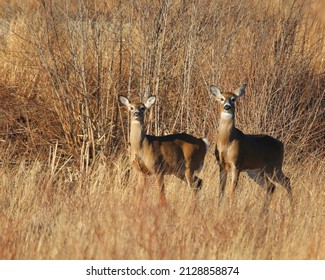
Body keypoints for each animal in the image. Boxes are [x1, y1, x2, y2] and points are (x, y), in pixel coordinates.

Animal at [209, 84, 292, 213]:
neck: (226, 142)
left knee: (286, 181)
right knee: (271, 186)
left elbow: (232, 191)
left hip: (274, 167)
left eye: (233, 99)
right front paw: (218, 208)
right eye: (221, 99)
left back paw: (292, 209)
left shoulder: (237, 164)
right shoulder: (221, 165)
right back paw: (263, 212)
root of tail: (281, 145)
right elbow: (221, 190)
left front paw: (230, 209)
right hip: (256, 171)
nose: (227, 106)